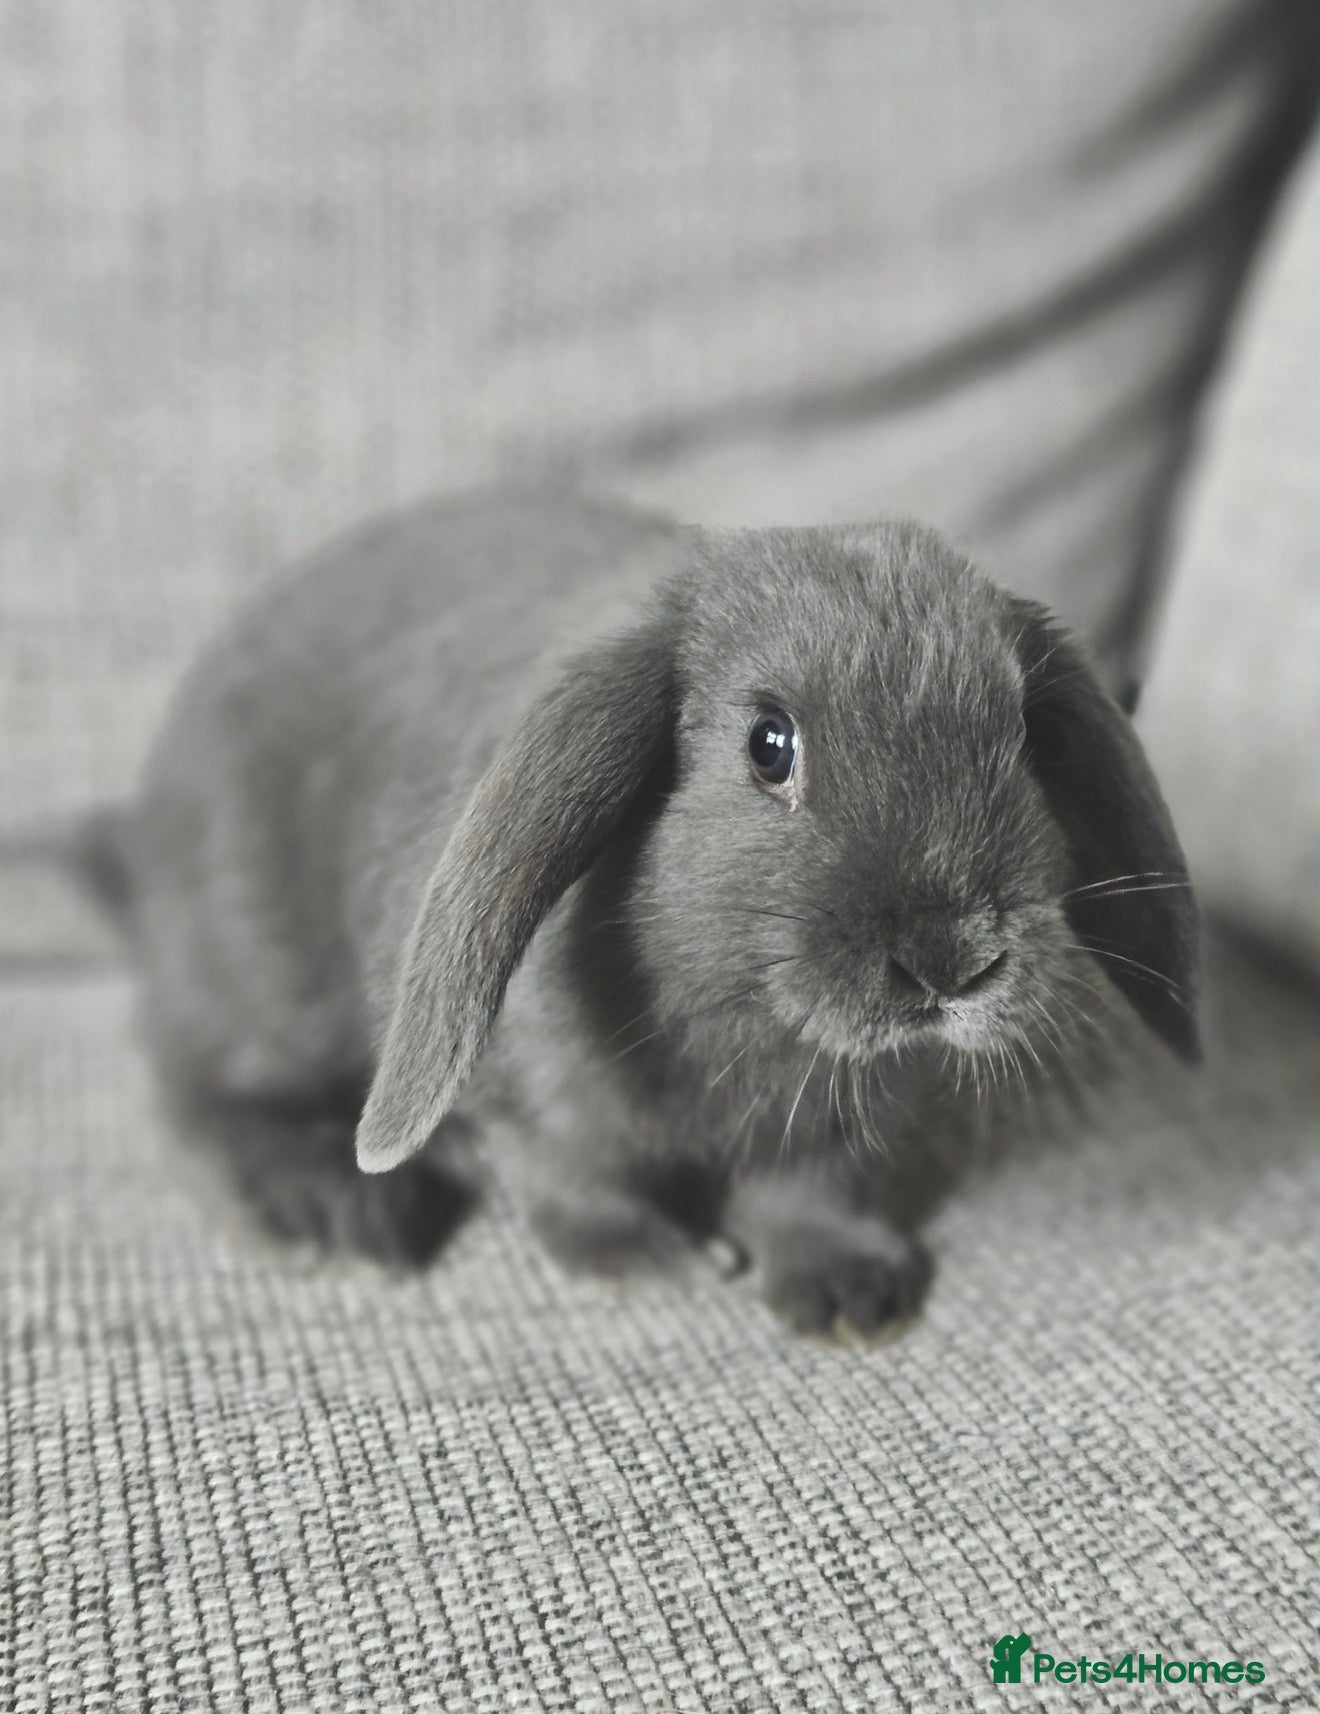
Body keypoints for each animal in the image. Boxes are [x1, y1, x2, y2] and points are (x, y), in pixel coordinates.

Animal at [83, 490, 1200, 1335]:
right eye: (769, 745)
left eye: (1022, 738)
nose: (951, 957)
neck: (746, 1028)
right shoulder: (532, 1100)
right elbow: (569, 1180)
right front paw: (662, 1262)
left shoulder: (831, 1128)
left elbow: (813, 1188)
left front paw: (848, 1292)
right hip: (252, 972)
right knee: (198, 1098)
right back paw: (339, 1214)